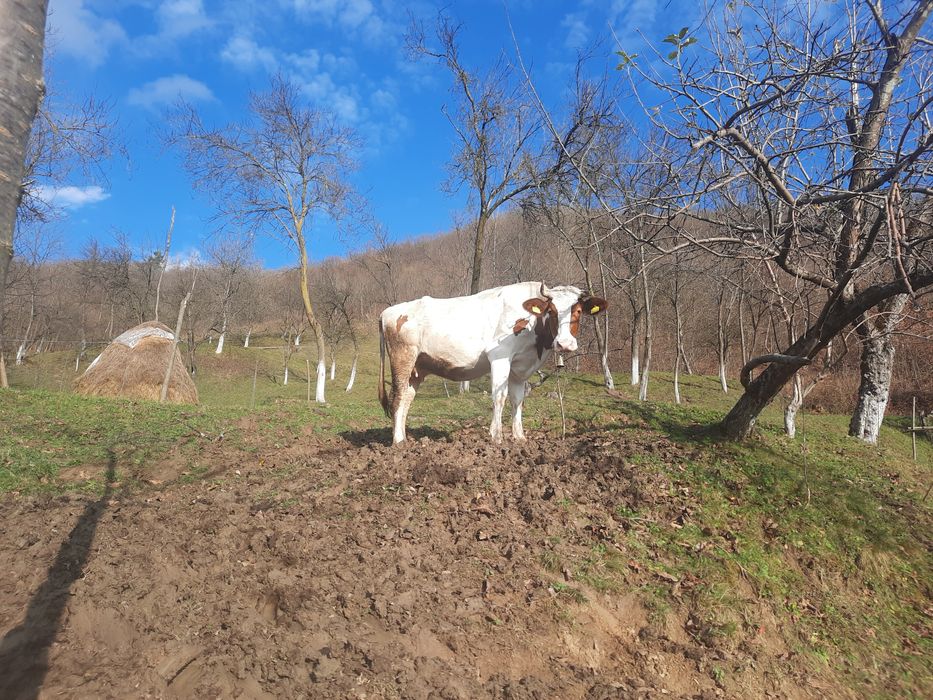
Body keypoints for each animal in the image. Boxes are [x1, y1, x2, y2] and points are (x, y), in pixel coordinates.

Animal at [378, 282, 607, 444]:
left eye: (578, 311)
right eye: (551, 311)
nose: (565, 343)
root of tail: (387, 312)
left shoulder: (520, 367)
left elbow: (517, 399)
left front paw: (519, 438)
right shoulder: (500, 356)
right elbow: (499, 396)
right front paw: (496, 437)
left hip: (418, 368)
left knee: (407, 399)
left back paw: (404, 439)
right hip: (403, 357)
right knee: (398, 398)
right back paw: (398, 442)